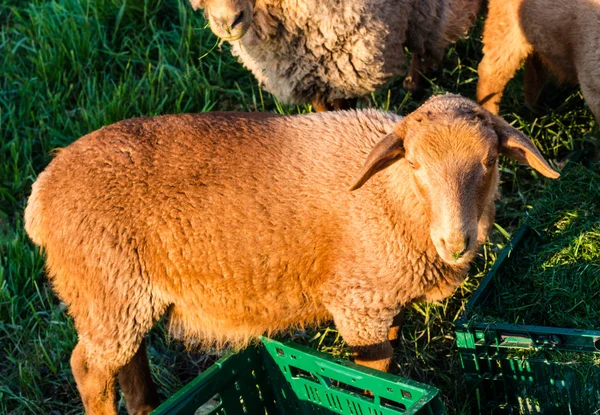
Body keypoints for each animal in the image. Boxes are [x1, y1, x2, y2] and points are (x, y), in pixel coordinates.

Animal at [23, 95, 556, 415]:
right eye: (416, 163)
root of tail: (41, 192)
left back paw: (148, 406)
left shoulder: (386, 300)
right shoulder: (358, 304)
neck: (390, 197)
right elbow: (374, 376)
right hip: (107, 290)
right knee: (89, 368)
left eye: (489, 161)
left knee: (129, 361)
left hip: (124, 298)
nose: (455, 242)